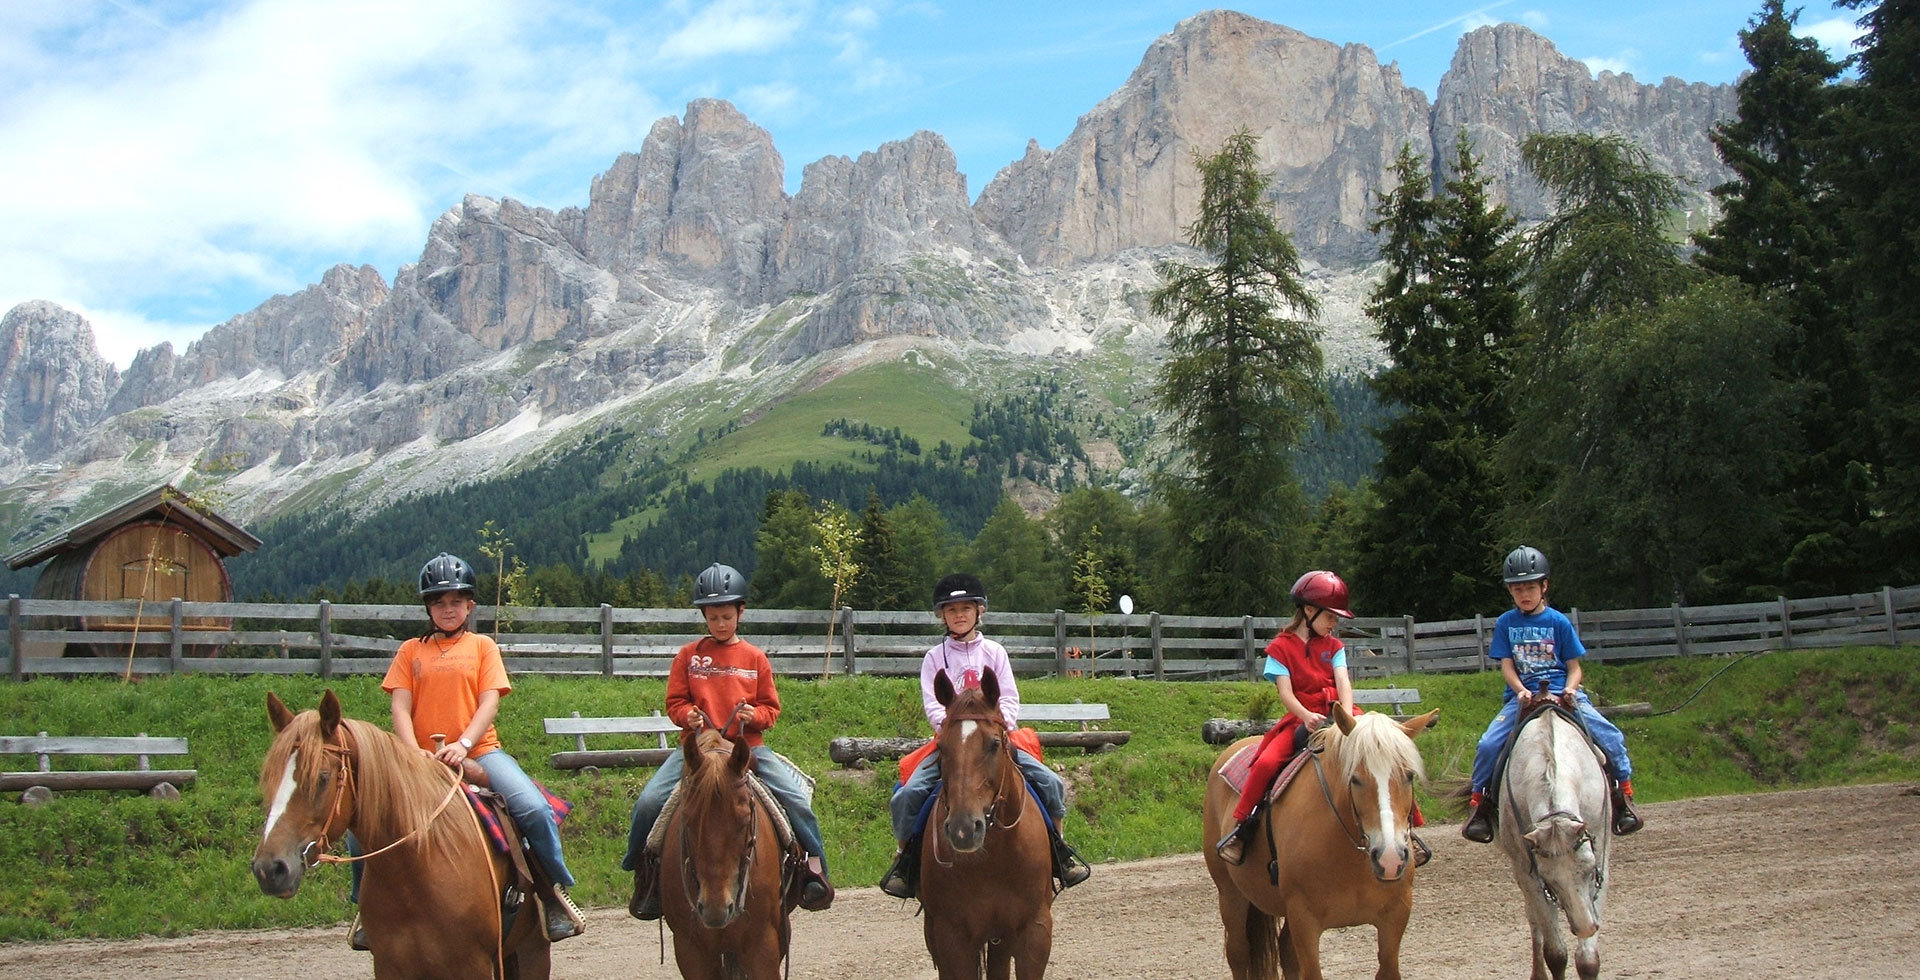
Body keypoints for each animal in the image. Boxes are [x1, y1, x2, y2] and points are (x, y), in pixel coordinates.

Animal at [247, 687, 549, 980]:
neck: (415, 869)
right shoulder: (389, 964)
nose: (269, 869)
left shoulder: (472, 965)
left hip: (532, 950)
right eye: (270, 777)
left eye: (322, 778)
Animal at [913, 668, 1052, 980]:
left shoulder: (1034, 929)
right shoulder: (951, 935)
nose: (964, 829)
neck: (995, 858)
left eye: (994, 744)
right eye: (942, 746)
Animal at [1198, 699, 1443, 976]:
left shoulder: (1396, 916)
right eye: (1355, 778)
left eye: (1409, 776)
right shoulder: (1304, 920)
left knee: (1284, 950)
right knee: (1238, 953)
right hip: (1230, 894)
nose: (1390, 858)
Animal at [1489, 707, 1612, 980]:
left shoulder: (1601, 859)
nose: (1586, 927)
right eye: (1550, 879)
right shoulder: (1530, 874)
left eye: (1589, 871)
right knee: (1534, 919)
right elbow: (1556, 954)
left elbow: (1588, 961)